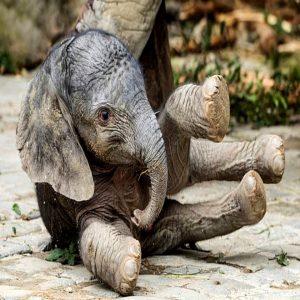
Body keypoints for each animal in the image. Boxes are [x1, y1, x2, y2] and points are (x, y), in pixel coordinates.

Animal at [15, 29, 284, 296]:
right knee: (179, 218)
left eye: (145, 94)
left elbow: (173, 172)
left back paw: (266, 155)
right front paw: (128, 264)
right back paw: (253, 193)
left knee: (192, 165)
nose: (136, 215)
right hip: (161, 232)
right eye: (104, 116)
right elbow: (95, 232)